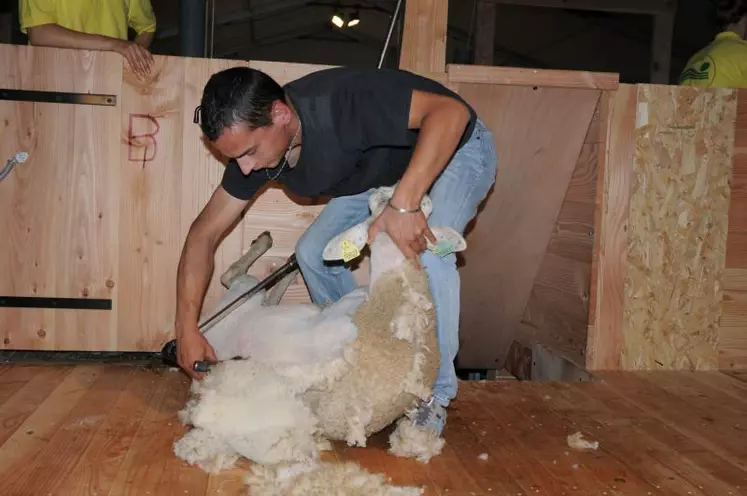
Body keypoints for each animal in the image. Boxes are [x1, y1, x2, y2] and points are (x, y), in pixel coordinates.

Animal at [172, 185, 464, 492]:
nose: (390, 189)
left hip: (242, 299)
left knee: (235, 277)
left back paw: (277, 257)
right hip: (244, 302)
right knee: (246, 283)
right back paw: (284, 264)